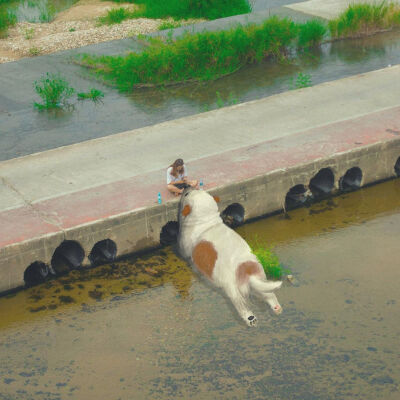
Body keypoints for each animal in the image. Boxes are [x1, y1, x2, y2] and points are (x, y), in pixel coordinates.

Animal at [177, 189, 282, 326]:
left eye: (186, 195)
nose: (186, 187)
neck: (207, 222)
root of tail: (248, 272)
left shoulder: (184, 248)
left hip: (231, 289)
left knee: (241, 305)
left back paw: (250, 319)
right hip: (261, 280)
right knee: (270, 295)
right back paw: (277, 308)